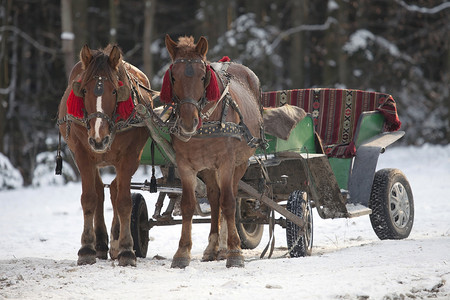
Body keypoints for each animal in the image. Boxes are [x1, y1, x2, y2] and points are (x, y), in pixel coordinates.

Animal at [57, 44, 152, 264]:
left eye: (115, 91)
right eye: (84, 90)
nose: (98, 139)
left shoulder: (130, 157)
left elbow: (124, 202)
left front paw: (126, 249)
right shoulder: (82, 155)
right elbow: (89, 198)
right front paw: (86, 248)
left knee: (115, 190)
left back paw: (116, 241)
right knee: (100, 191)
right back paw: (100, 243)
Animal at [160, 35, 264, 268]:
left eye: (202, 77)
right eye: (173, 77)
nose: (188, 122)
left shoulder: (226, 162)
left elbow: (229, 203)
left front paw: (235, 252)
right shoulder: (185, 165)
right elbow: (188, 205)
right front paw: (182, 253)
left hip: (239, 164)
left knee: (229, 197)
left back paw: (225, 247)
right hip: (208, 169)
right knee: (215, 198)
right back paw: (213, 248)